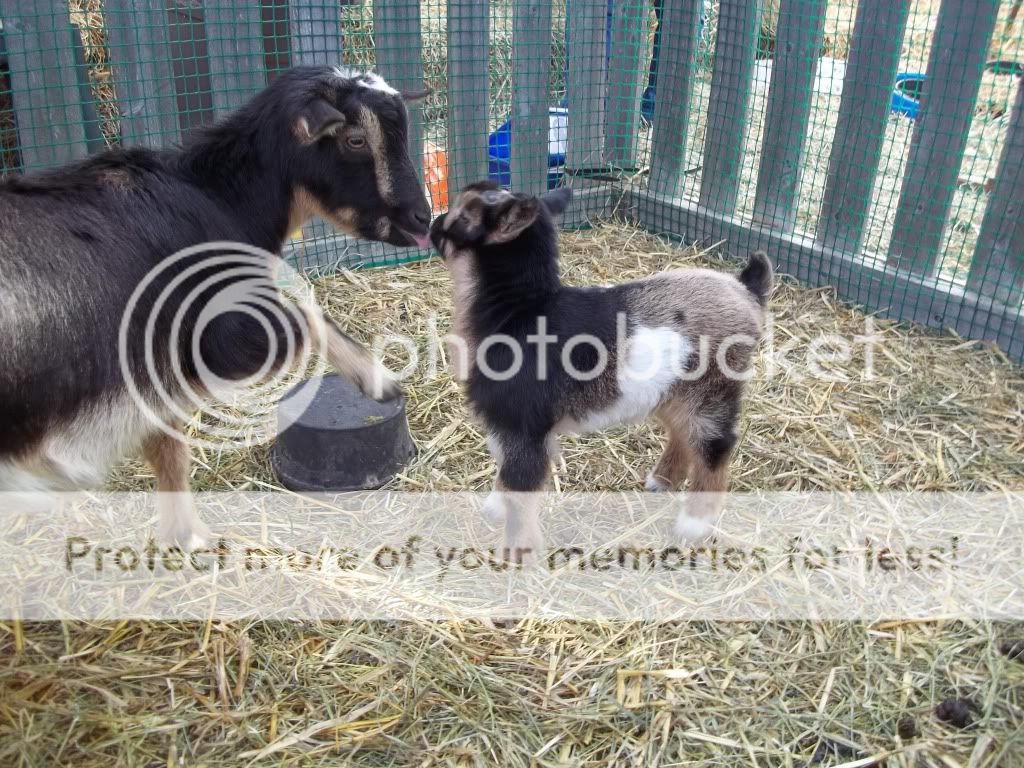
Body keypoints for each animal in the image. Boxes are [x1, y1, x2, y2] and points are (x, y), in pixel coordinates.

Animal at [0, 66, 432, 545]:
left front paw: (184, 536)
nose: (423, 218)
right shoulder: (221, 337)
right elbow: (304, 315)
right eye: (355, 139)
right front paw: (378, 380)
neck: (218, 197)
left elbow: (167, 448)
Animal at [430, 181, 773, 558]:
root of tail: (746, 290)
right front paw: (495, 508)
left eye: (465, 215)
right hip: (673, 392)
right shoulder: (505, 422)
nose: (433, 225)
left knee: (715, 447)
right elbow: (504, 467)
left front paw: (518, 552)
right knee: (683, 433)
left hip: (712, 390)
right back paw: (661, 481)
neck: (518, 312)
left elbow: (520, 483)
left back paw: (693, 524)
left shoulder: (524, 425)